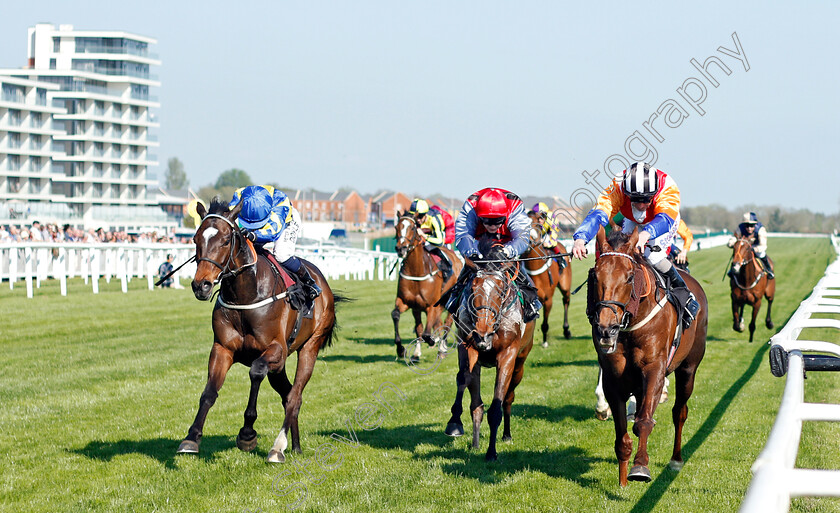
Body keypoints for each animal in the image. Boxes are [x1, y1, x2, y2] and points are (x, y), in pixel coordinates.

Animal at [179, 198, 342, 462]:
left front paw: (247, 434)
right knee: (287, 395)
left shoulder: (275, 350)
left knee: (294, 396)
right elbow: (209, 392)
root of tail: (325, 286)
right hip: (279, 367)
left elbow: (255, 372)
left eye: (226, 240)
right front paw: (191, 438)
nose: (200, 285)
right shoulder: (222, 349)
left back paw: (278, 448)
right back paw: (295, 446)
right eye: (195, 239)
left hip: (310, 347)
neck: (245, 294)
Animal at [390, 214, 462, 358]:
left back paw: (442, 349)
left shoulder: (431, 306)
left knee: (447, 323)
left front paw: (433, 341)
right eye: (396, 227)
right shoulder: (408, 303)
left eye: (413, 227)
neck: (416, 271)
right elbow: (398, 316)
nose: (401, 248)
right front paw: (404, 350)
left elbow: (427, 333)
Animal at [442, 246, 536, 462]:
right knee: (476, 402)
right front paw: (454, 423)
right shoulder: (467, 346)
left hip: (520, 362)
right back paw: (476, 443)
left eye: (500, 290)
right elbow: (464, 379)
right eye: (472, 287)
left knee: (508, 398)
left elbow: (497, 406)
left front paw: (491, 452)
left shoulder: (507, 355)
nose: (483, 333)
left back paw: (506, 435)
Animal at [520, 214, 576, 346]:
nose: (528, 241)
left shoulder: (548, 299)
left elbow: (545, 324)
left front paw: (545, 341)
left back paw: (566, 331)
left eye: (538, 224)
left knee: (566, 301)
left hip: (565, 285)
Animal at [592, 227, 708, 484]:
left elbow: (644, 421)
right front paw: (623, 480)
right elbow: (622, 435)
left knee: (679, 412)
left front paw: (640, 467)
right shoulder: (613, 378)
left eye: (629, 277)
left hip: (688, 369)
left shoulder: (654, 368)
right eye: (595, 275)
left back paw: (676, 459)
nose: (606, 328)